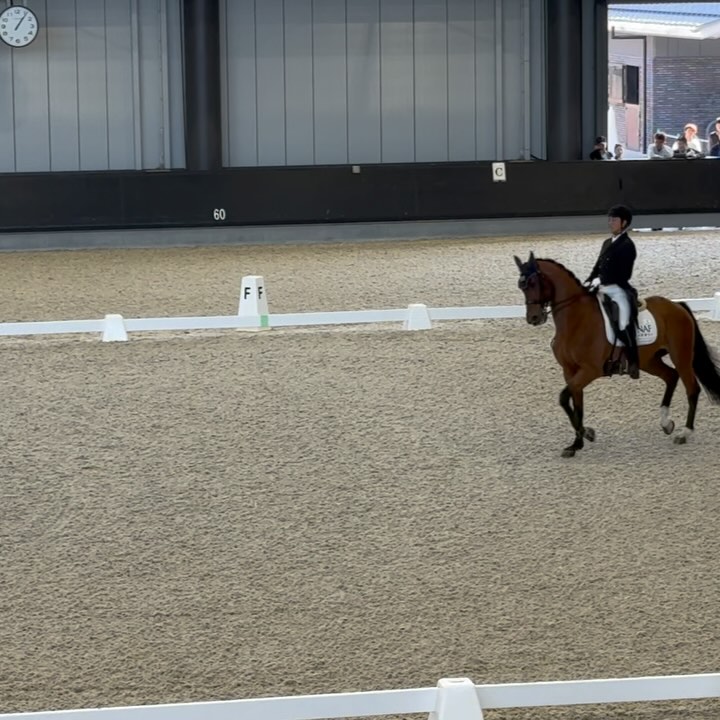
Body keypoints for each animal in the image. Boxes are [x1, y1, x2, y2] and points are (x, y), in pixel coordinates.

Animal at [514, 252, 720, 457]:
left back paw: (685, 433)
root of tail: (677, 306)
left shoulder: (590, 370)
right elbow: (577, 404)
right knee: (671, 376)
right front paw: (579, 441)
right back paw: (666, 423)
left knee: (692, 388)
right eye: (521, 286)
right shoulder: (570, 371)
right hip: (648, 360)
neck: (575, 320)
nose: (533, 318)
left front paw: (585, 435)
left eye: (533, 283)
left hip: (681, 356)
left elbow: (564, 398)